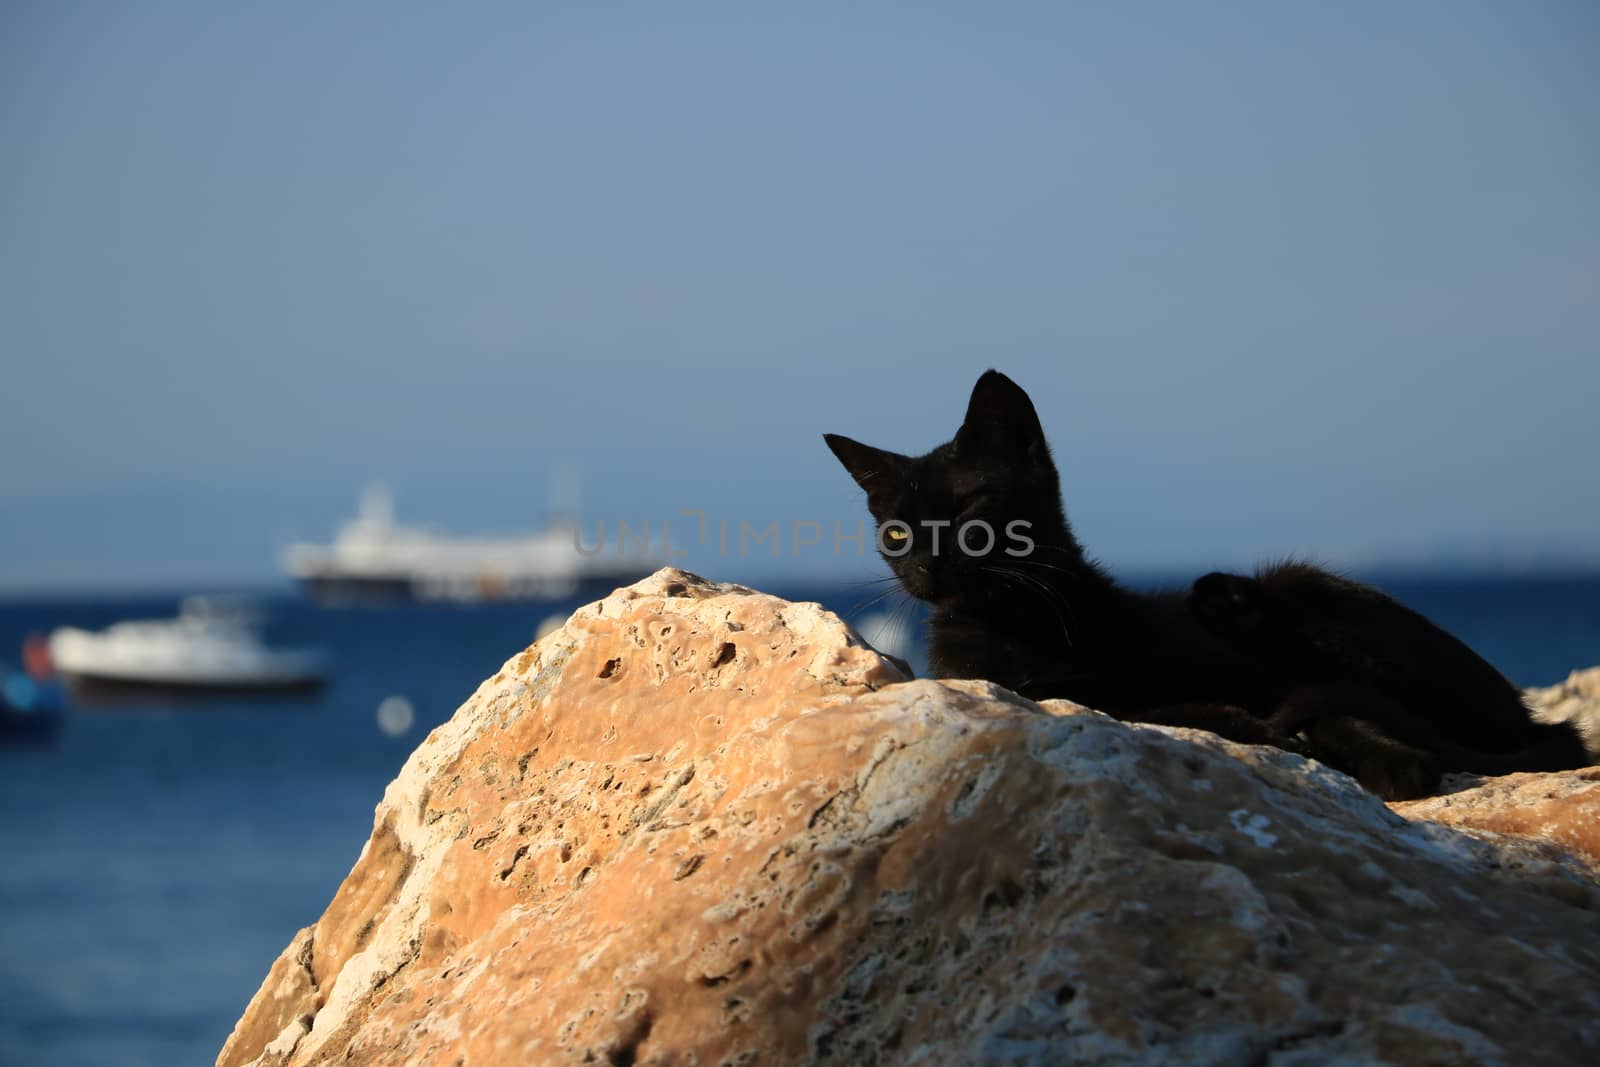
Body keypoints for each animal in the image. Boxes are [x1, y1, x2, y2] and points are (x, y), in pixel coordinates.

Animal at [825, 371, 1587, 796]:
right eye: (896, 533)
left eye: (968, 511)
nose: (926, 565)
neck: (1017, 621)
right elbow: (1139, 702)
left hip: (1298, 590)